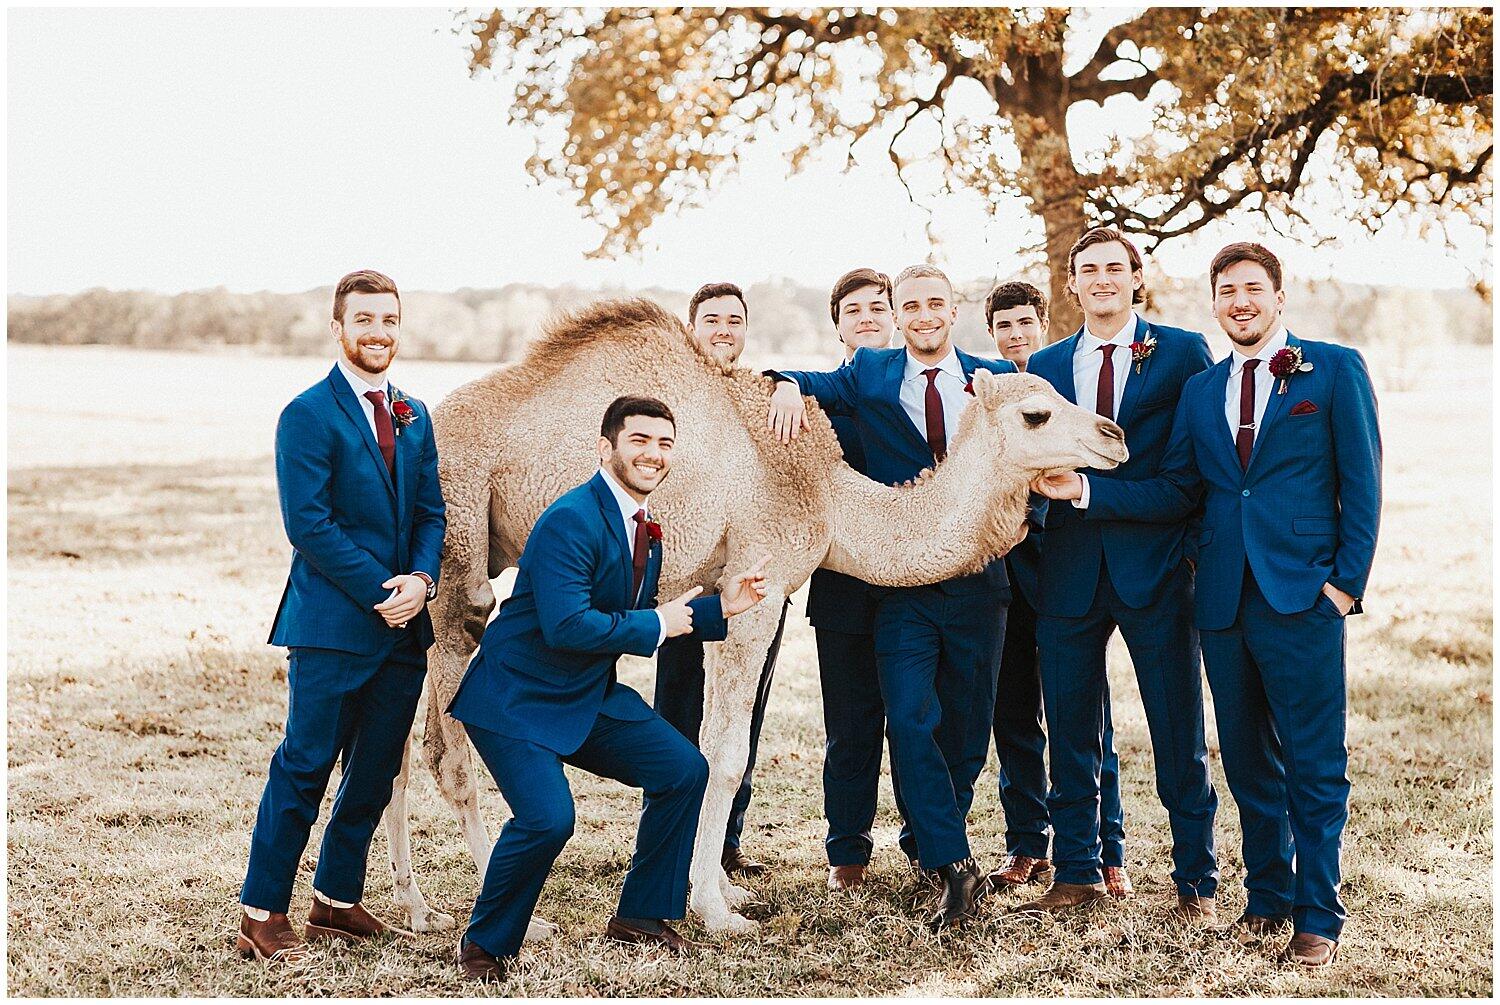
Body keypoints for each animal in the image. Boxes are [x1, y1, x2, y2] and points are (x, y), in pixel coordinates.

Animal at [378, 297, 1128, 936]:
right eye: (1037, 414)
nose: (1114, 434)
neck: (828, 495)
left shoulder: (721, 591)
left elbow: (720, 747)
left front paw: (721, 890)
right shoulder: (755, 588)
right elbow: (726, 752)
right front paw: (714, 910)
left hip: (414, 594)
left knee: (398, 746)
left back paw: (415, 908)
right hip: (458, 552)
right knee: (449, 743)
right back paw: (506, 912)